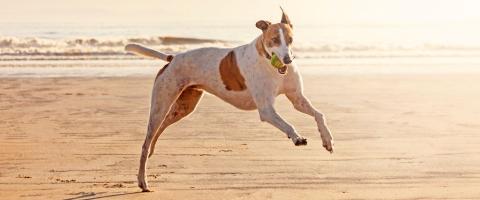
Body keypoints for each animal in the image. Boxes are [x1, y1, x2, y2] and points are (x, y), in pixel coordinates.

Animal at [124, 8, 334, 191]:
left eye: (290, 40)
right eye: (274, 40)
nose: (288, 60)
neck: (271, 64)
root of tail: (172, 58)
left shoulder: (297, 99)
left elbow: (319, 114)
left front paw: (327, 140)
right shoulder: (266, 110)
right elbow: (288, 124)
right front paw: (297, 137)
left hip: (182, 108)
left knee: (157, 133)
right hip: (161, 105)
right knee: (145, 143)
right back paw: (143, 181)